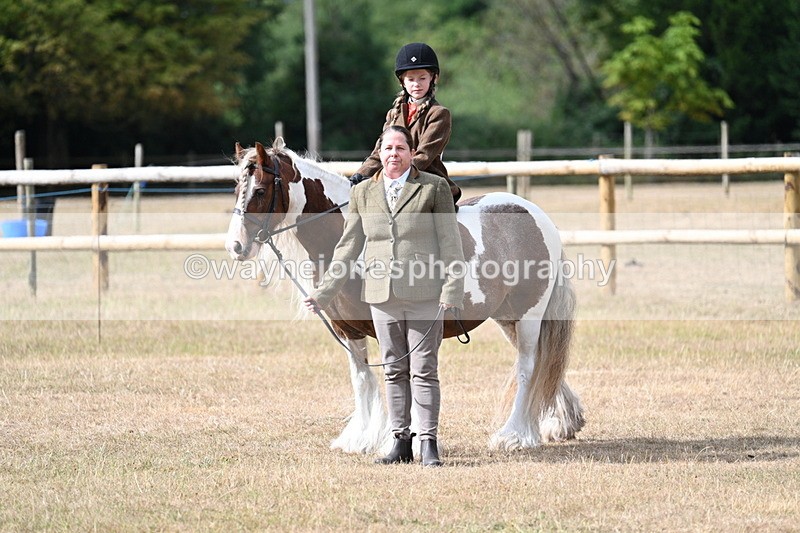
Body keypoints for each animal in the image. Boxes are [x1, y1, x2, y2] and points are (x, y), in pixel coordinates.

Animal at [225, 138, 585, 454]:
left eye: (259, 190)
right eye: (236, 189)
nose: (236, 246)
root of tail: (535, 214)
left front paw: (396, 440)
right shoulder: (348, 330)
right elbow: (362, 378)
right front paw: (360, 438)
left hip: (529, 314)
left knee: (527, 367)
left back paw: (514, 436)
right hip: (507, 317)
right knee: (541, 364)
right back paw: (557, 423)